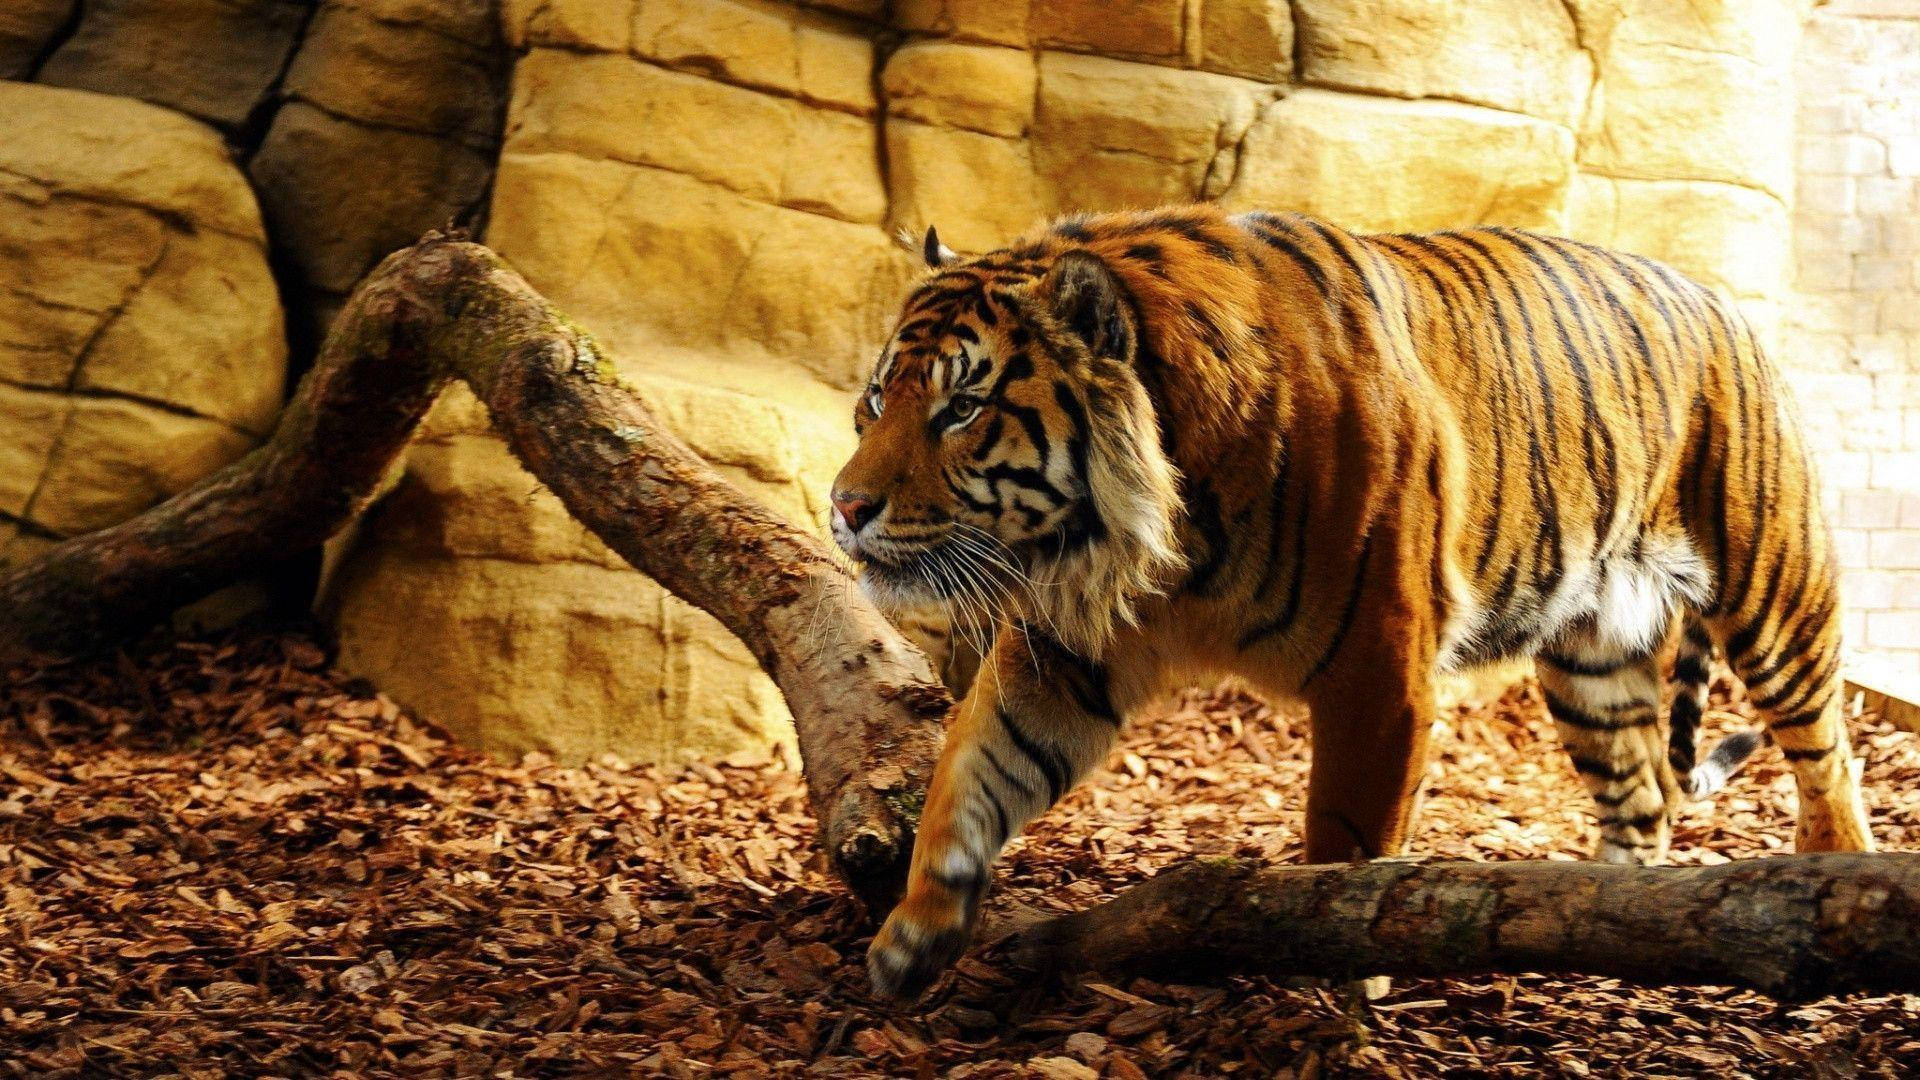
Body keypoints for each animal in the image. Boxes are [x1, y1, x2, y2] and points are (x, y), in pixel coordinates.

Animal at [827, 205, 1876, 1000]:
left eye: (961, 409)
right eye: (876, 400)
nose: (843, 507)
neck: (1151, 537)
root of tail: (1722, 301)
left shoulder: (1378, 672)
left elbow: (1341, 846)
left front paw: (1329, 986)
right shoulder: (1066, 650)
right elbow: (972, 769)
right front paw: (914, 934)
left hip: (1775, 593)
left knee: (1828, 753)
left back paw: (1829, 872)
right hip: (1592, 657)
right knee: (1644, 794)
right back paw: (1604, 920)